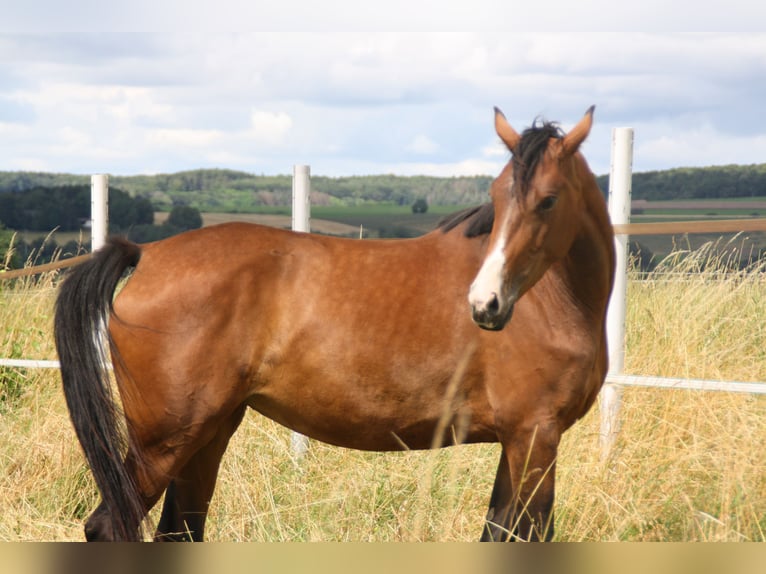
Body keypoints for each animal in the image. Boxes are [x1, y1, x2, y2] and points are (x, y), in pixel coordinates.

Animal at [54, 106, 616, 544]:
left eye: (548, 199)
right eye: (498, 198)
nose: (485, 305)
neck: (551, 297)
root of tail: (145, 253)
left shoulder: (519, 441)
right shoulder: (534, 436)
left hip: (208, 432)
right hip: (165, 442)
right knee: (110, 526)